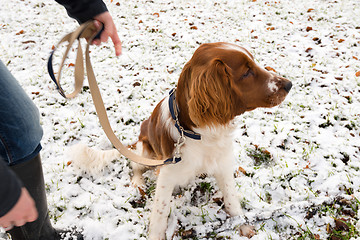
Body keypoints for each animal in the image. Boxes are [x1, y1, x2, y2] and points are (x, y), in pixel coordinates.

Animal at [71, 42, 292, 239]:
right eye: (246, 73)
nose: (289, 84)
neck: (200, 132)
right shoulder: (167, 174)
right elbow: (159, 214)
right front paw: (156, 236)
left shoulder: (223, 163)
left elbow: (231, 198)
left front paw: (242, 224)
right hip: (145, 149)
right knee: (136, 167)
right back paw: (137, 182)